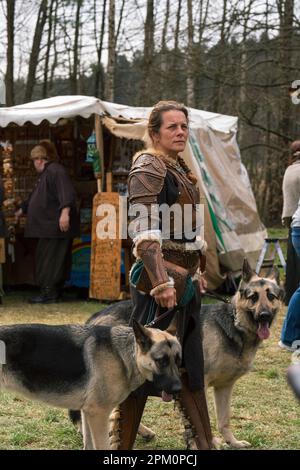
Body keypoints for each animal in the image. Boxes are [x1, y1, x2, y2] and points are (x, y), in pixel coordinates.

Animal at [0, 322, 180, 450]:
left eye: (178, 360)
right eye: (161, 361)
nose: (179, 389)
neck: (123, 355)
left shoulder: (88, 413)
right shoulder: (98, 414)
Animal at [78, 260, 284, 448]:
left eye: (271, 296)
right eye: (253, 297)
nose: (264, 315)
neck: (235, 323)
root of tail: (96, 316)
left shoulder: (225, 387)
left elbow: (224, 419)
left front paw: (232, 442)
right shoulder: (200, 381)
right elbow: (205, 416)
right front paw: (211, 441)